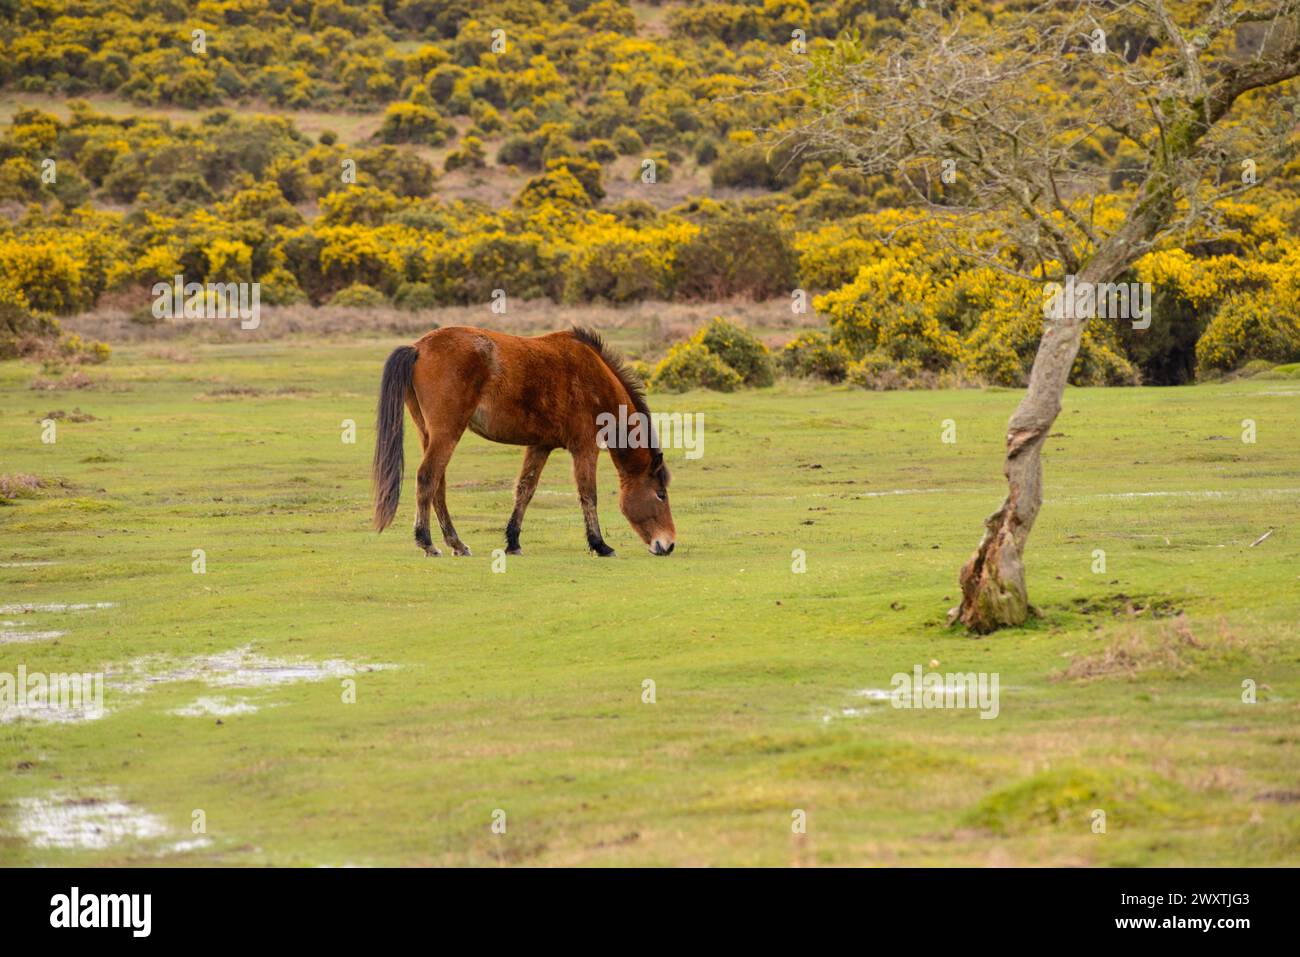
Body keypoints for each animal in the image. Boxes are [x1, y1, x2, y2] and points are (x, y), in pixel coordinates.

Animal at [371, 325, 676, 556]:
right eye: (660, 494)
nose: (669, 544)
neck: (597, 382)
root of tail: (419, 348)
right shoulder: (585, 448)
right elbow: (588, 494)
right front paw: (600, 545)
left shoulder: (540, 445)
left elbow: (525, 489)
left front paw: (513, 541)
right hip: (447, 433)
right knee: (427, 477)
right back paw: (427, 543)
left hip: (429, 434)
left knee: (438, 484)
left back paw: (456, 543)